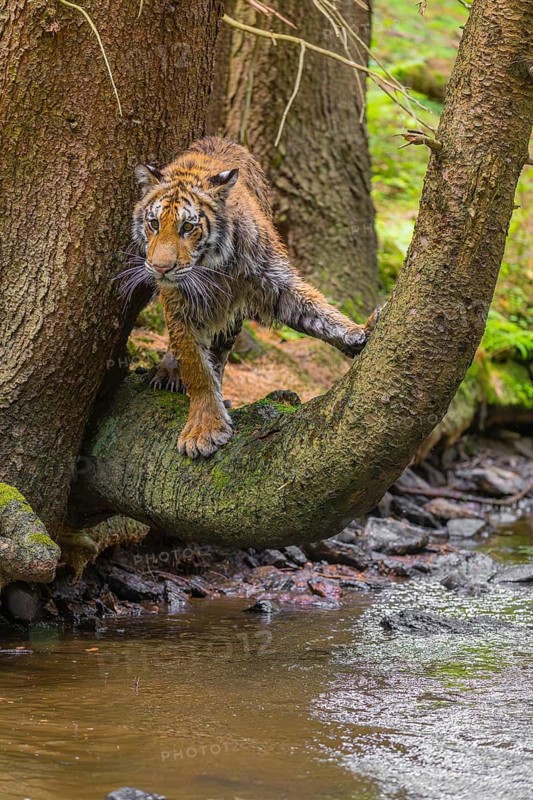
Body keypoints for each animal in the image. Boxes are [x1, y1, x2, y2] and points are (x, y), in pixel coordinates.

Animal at [128, 137, 379, 459]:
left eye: (188, 227)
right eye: (155, 224)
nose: (160, 268)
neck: (211, 268)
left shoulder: (273, 282)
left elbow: (316, 309)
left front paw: (360, 331)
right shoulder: (179, 307)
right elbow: (196, 368)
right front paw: (205, 428)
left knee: (221, 356)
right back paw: (168, 372)